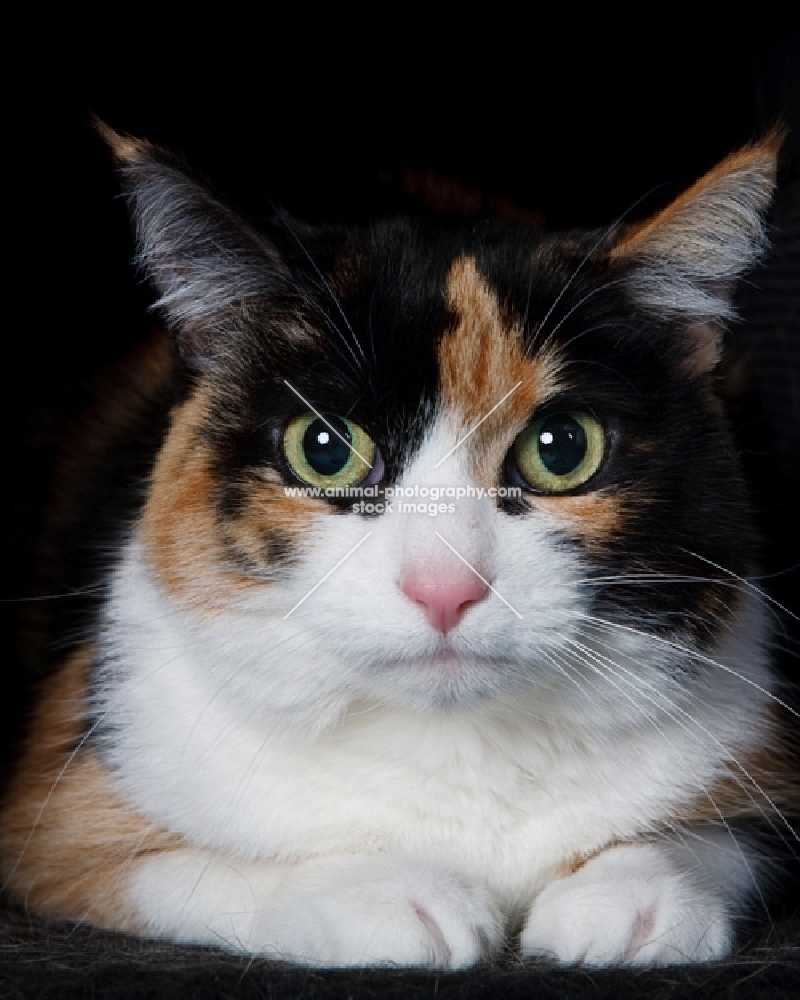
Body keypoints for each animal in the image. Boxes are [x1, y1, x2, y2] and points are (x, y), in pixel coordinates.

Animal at [3, 123, 796, 968]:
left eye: (562, 447)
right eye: (323, 448)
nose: (445, 586)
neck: (458, 753)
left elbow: (728, 837)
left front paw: (633, 893)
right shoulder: (57, 807)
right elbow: (187, 869)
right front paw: (387, 895)